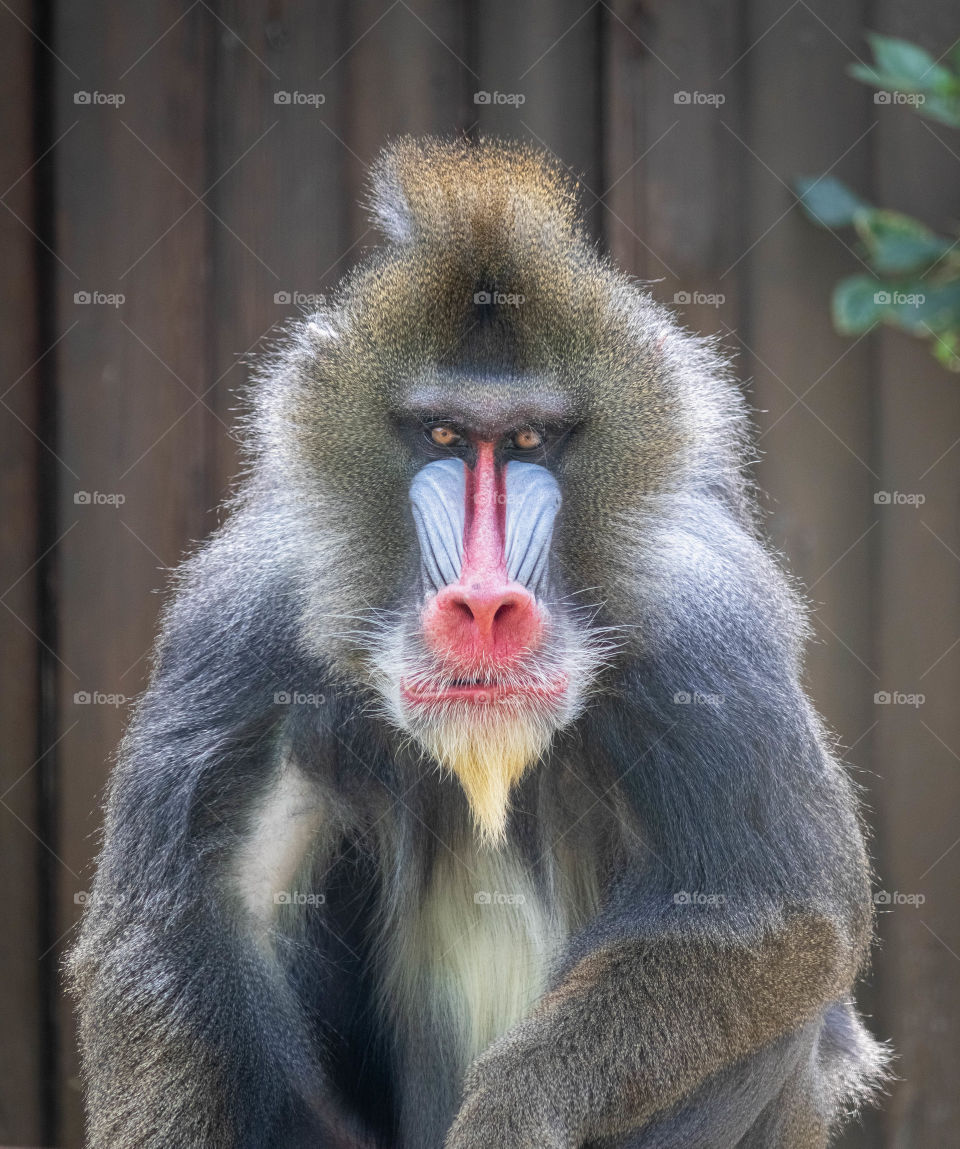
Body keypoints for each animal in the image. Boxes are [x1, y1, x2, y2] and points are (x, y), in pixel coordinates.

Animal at [70, 136, 888, 1149]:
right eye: (446, 435)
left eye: (530, 439)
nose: (486, 606)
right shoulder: (242, 625)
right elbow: (184, 935)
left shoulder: (708, 631)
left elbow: (777, 914)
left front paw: (513, 1115)